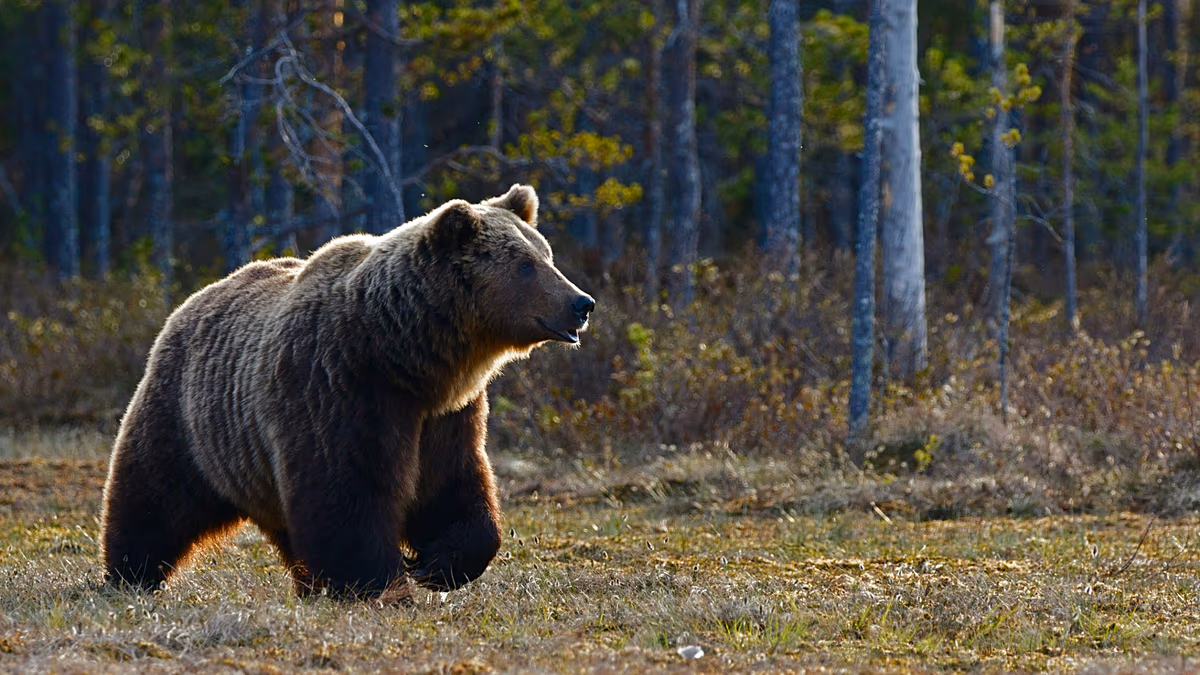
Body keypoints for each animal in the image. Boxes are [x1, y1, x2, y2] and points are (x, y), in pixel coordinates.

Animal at [100, 184, 594, 598]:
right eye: (525, 265)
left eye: (546, 255)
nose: (581, 302)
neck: (404, 355)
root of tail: (192, 300)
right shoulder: (339, 388)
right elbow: (347, 491)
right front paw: (378, 581)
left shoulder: (446, 414)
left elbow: (453, 485)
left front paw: (437, 563)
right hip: (190, 417)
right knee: (154, 495)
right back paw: (130, 574)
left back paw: (307, 583)